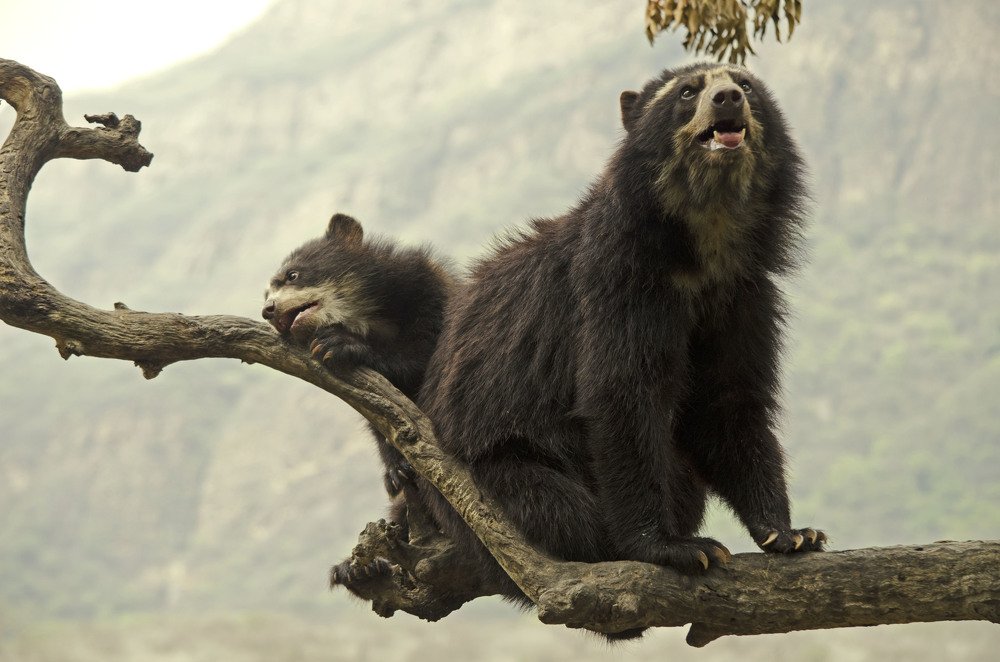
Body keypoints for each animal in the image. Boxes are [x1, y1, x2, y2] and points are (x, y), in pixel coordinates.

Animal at [262, 213, 454, 587]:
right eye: (266, 292)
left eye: (293, 275)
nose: (268, 310)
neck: (366, 315)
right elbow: (381, 417)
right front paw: (396, 471)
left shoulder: (430, 291)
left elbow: (423, 353)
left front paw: (340, 344)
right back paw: (359, 569)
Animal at [410, 63, 826, 640]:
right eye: (688, 92)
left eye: (745, 83)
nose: (728, 99)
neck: (703, 243)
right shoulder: (620, 284)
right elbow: (622, 394)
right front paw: (675, 548)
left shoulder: (743, 297)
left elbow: (728, 402)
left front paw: (791, 534)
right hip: (490, 478)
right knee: (555, 506)